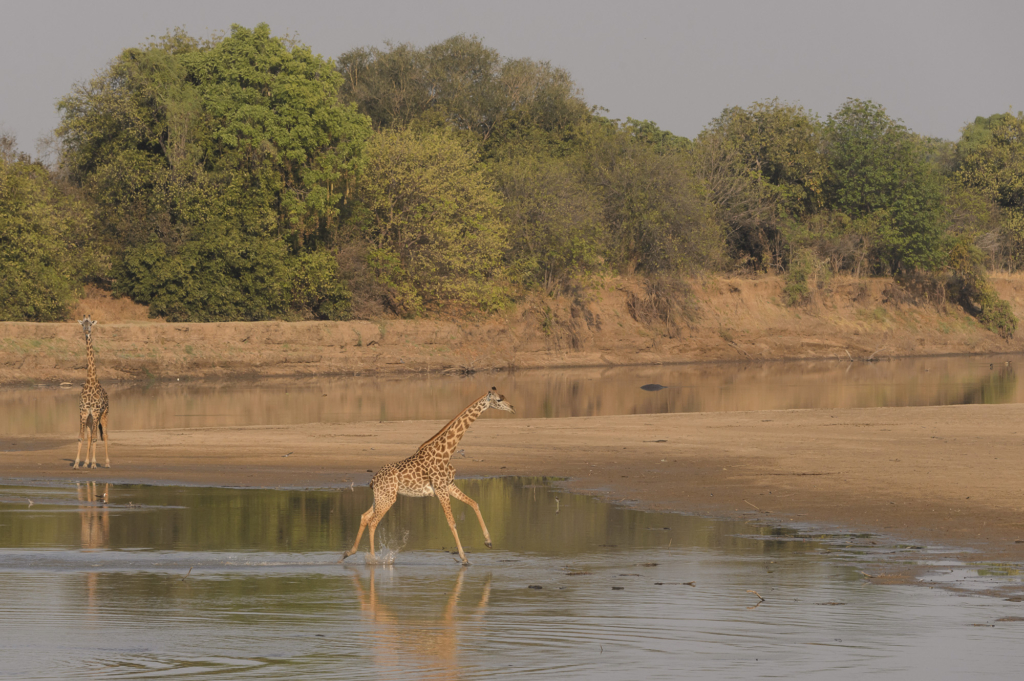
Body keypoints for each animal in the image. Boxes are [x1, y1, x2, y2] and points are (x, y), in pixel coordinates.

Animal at [342, 385, 516, 565]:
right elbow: (452, 522)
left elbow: (474, 503)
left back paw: (348, 553)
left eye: (503, 396)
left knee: (364, 517)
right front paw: (464, 558)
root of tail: (373, 480)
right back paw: (373, 559)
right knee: (372, 522)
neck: (447, 451)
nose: (512, 408)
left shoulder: (449, 485)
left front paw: (488, 541)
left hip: (381, 497)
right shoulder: (440, 489)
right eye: (499, 399)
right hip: (388, 498)